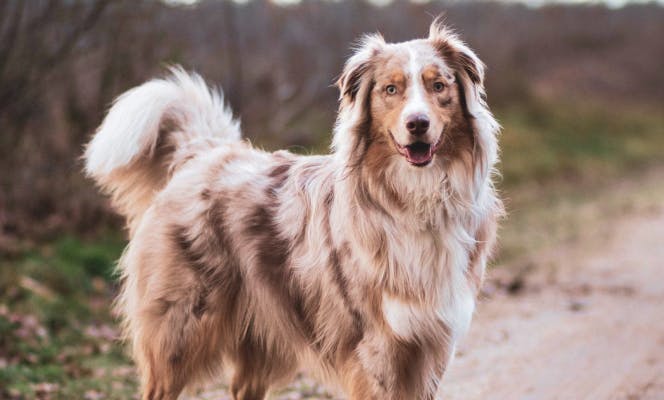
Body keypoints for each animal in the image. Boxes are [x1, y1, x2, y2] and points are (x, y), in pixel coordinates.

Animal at [85, 20, 504, 400]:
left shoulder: (431, 345)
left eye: (439, 86)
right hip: (179, 332)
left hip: (259, 336)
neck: (419, 198)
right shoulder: (378, 347)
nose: (418, 123)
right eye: (391, 89)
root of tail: (204, 152)